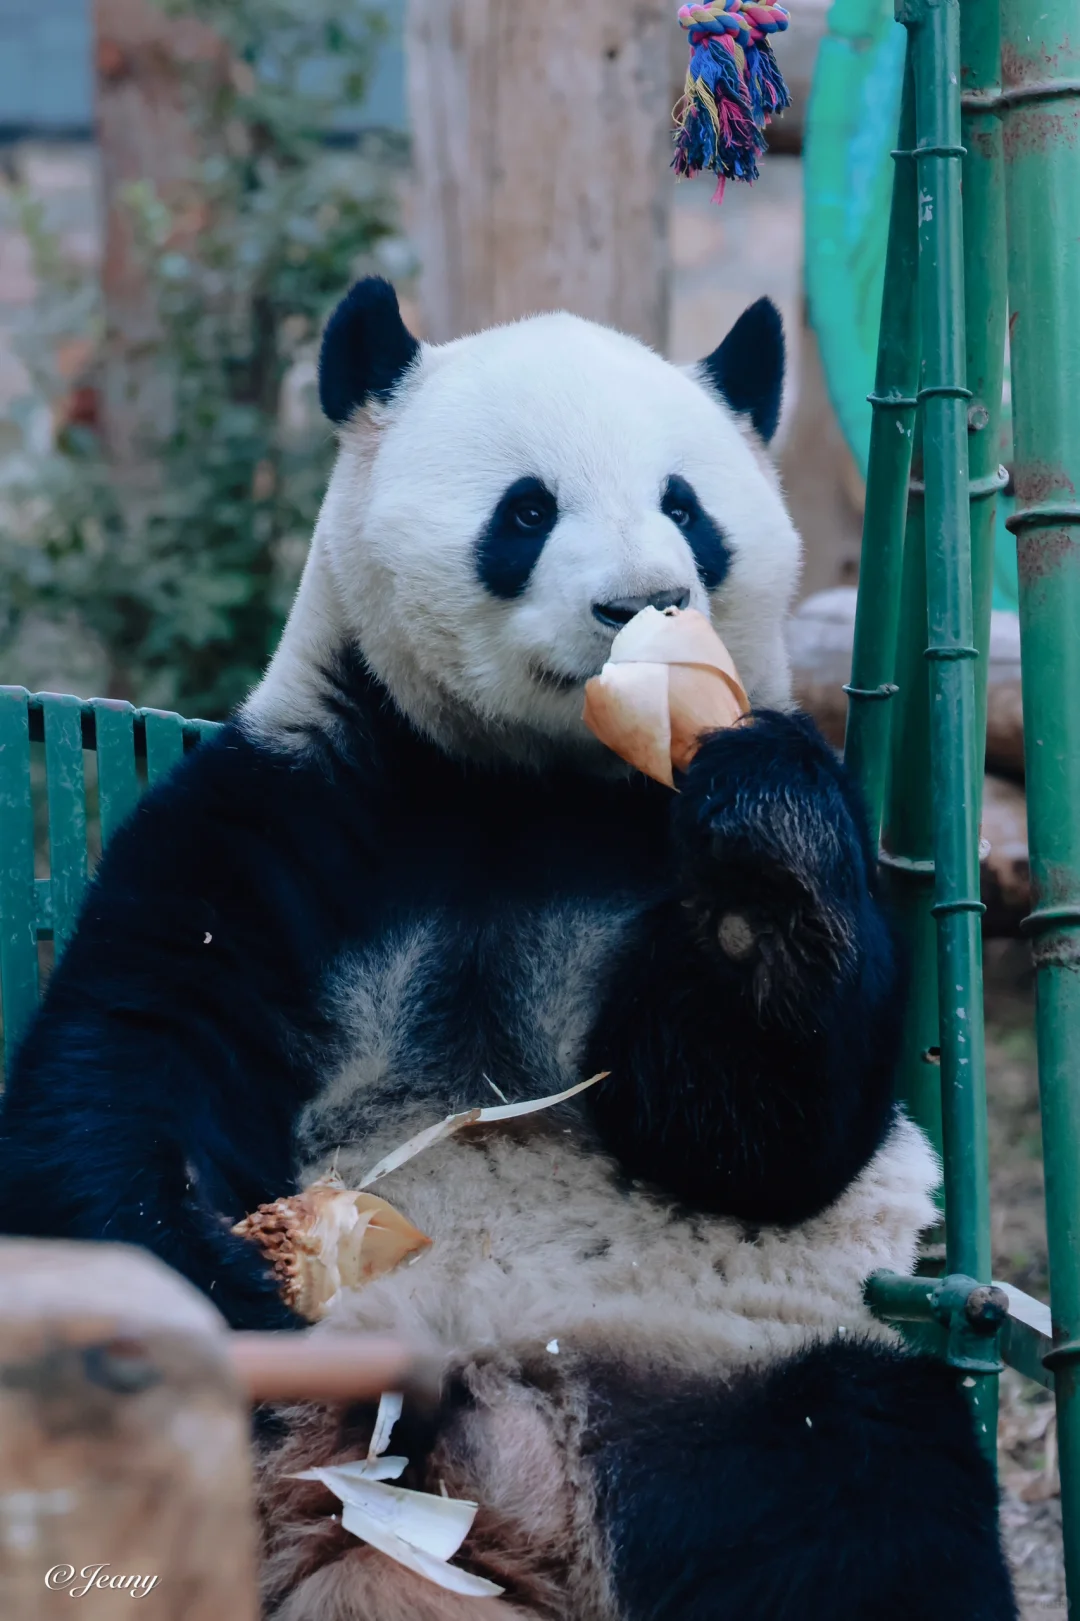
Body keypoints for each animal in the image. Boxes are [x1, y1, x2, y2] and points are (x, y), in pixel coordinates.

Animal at [0, 282, 1011, 1621]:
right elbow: (129, 1056)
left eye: (686, 506)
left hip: (727, 1376)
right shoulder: (290, 805)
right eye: (527, 511)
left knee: (859, 1493)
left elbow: (758, 1137)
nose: (644, 601)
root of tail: (499, 1492)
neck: (528, 781)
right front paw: (235, 1274)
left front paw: (757, 848)